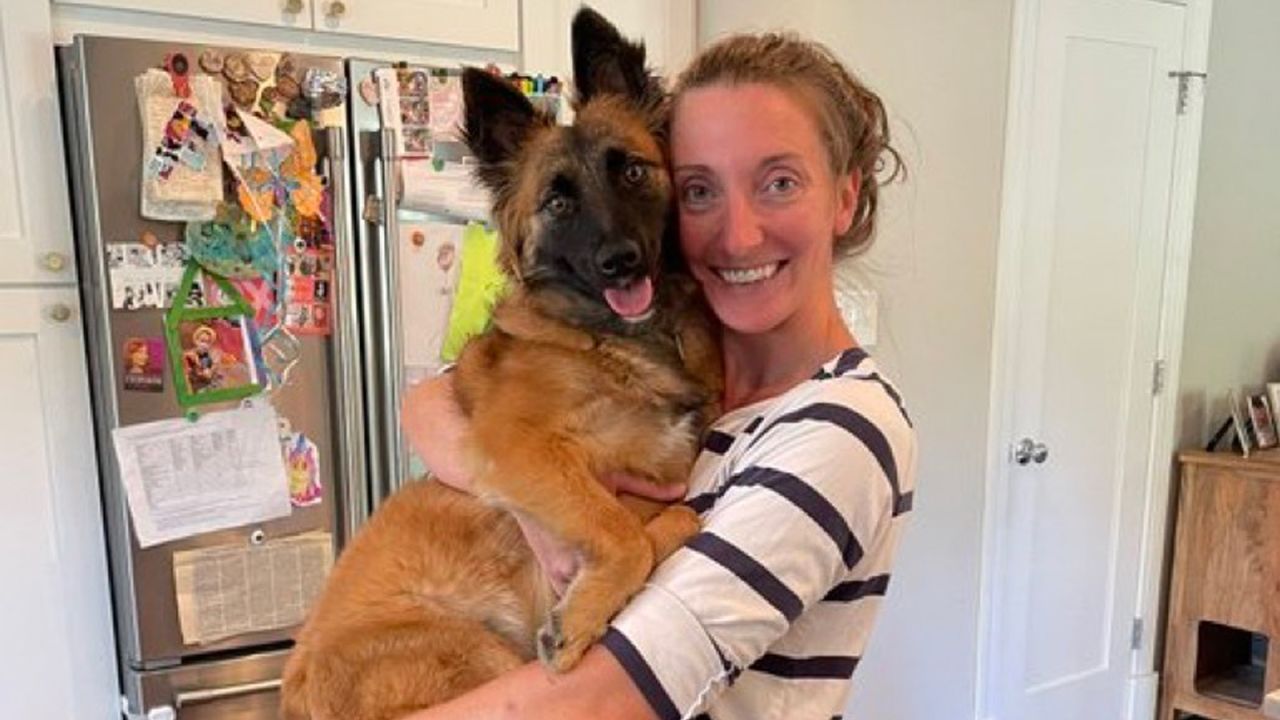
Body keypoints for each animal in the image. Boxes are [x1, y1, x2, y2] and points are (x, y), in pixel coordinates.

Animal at [279, 11, 721, 717]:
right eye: (558, 203)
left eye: (631, 172)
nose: (620, 262)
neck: (618, 342)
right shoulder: (516, 448)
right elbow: (627, 532)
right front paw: (580, 618)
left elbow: (673, 513)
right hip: (471, 648)